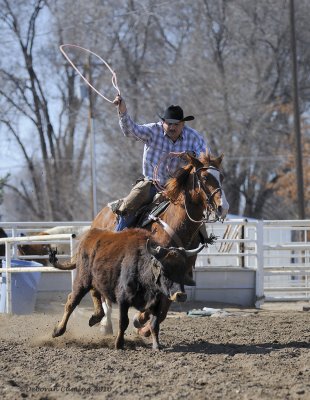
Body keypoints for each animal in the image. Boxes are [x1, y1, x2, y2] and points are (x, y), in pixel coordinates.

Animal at [49, 228, 203, 350]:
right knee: (71, 302)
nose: (180, 295)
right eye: (164, 270)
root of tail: (91, 235)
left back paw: (95, 317)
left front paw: (156, 345)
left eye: (183, 270)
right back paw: (58, 330)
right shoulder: (123, 300)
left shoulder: (157, 302)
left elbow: (154, 324)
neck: (141, 268)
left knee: (95, 293)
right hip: (82, 280)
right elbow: (123, 322)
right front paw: (119, 344)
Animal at [91, 152, 229, 336]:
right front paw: (140, 318)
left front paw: (143, 326)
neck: (176, 226)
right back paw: (105, 324)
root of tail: (100, 215)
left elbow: (165, 306)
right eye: (205, 177)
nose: (223, 208)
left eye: (221, 177)